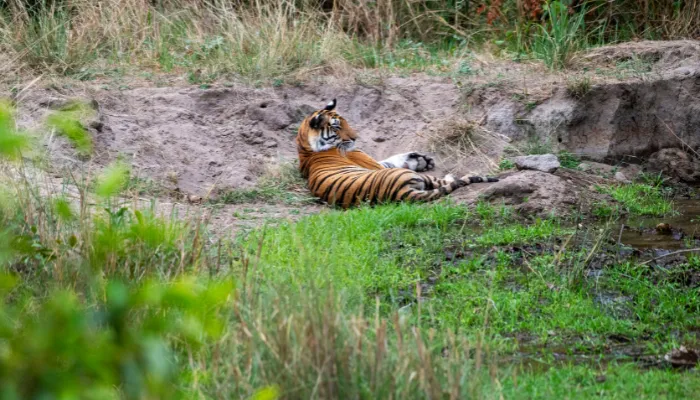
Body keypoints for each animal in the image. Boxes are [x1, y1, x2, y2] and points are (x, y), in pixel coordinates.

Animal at [296, 99, 499, 209]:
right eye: (337, 126)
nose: (355, 137)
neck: (305, 148)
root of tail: (399, 193)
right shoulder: (371, 163)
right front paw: (421, 160)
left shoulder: (376, 163)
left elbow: (390, 159)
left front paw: (420, 159)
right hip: (416, 177)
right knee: (445, 181)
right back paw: (459, 175)